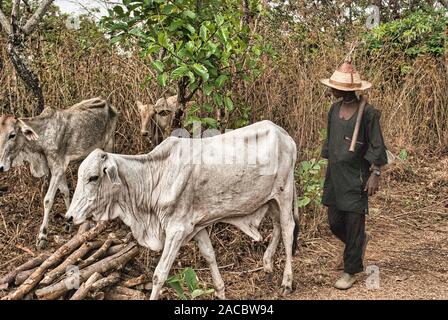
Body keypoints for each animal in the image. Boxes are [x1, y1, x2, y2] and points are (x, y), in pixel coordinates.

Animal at [0, 99, 117, 249]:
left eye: (12, 135)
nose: (1, 166)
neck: (42, 137)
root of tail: (107, 103)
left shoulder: (58, 167)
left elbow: (48, 200)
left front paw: (42, 236)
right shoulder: (56, 168)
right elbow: (65, 191)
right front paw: (68, 222)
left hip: (109, 143)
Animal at [65, 120, 298, 300]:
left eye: (93, 177)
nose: (69, 217)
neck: (155, 179)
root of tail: (283, 133)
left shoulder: (177, 230)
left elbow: (160, 274)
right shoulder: (197, 225)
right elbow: (209, 255)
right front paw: (220, 291)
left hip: (285, 193)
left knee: (287, 229)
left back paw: (287, 281)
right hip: (270, 200)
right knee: (277, 225)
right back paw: (267, 263)